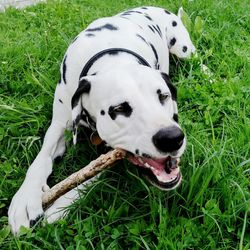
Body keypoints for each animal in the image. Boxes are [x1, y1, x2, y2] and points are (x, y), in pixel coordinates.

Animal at [7, 5, 195, 234]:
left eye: (164, 96)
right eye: (119, 108)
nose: (172, 138)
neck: (112, 56)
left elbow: (89, 177)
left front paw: (60, 206)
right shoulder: (59, 124)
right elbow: (41, 158)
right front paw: (25, 199)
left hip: (184, 50)